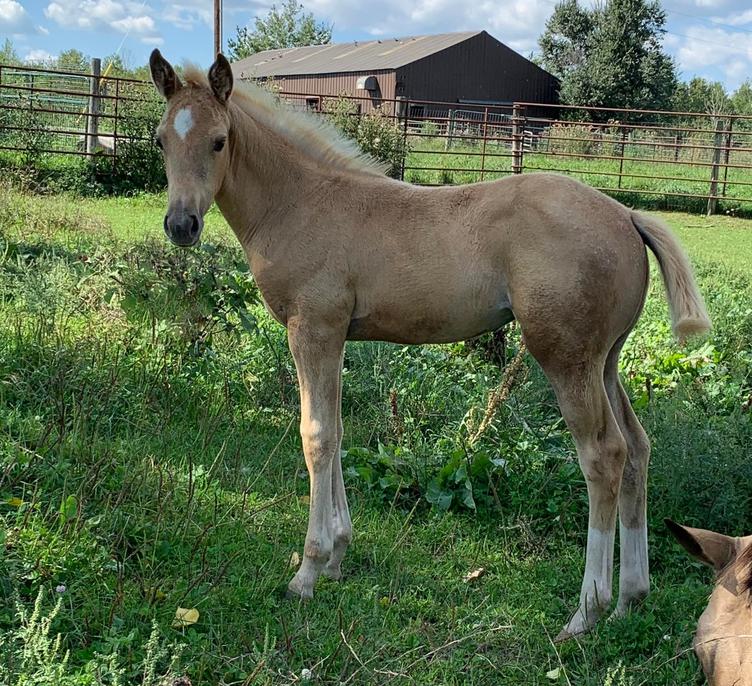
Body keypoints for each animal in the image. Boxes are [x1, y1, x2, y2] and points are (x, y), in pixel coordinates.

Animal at [148, 50, 711, 640]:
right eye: (161, 140)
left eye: (218, 141)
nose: (181, 225)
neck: (300, 202)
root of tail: (626, 215)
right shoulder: (336, 337)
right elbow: (339, 432)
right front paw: (339, 556)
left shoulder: (313, 329)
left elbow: (316, 437)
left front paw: (309, 570)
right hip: (606, 361)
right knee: (638, 449)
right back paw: (630, 598)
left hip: (566, 358)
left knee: (604, 456)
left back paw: (587, 611)